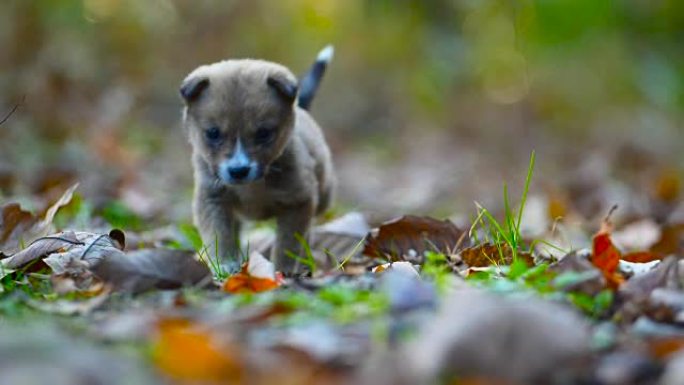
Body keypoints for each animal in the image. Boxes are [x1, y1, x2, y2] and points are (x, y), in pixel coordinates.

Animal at [179, 45, 334, 272]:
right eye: (213, 133)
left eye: (263, 133)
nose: (238, 171)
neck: (253, 185)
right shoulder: (211, 198)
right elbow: (219, 236)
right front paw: (225, 265)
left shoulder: (298, 202)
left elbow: (288, 244)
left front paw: (281, 271)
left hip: (324, 195)